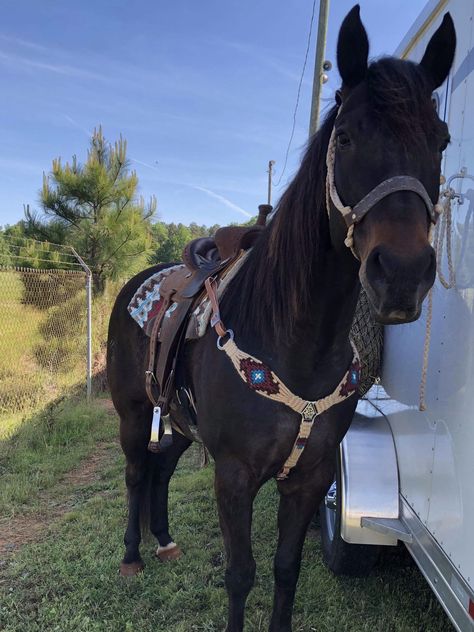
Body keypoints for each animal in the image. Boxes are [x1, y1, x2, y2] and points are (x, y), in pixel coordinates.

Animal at [107, 6, 456, 632]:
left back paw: (164, 540)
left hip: (179, 422)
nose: (403, 272)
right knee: (133, 472)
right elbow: (240, 575)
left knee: (160, 467)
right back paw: (131, 555)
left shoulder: (311, 477)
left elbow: (286, 570)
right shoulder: (234, 475)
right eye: (345, 135)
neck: (295, 345)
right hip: (132, 409)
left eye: (440, 140)